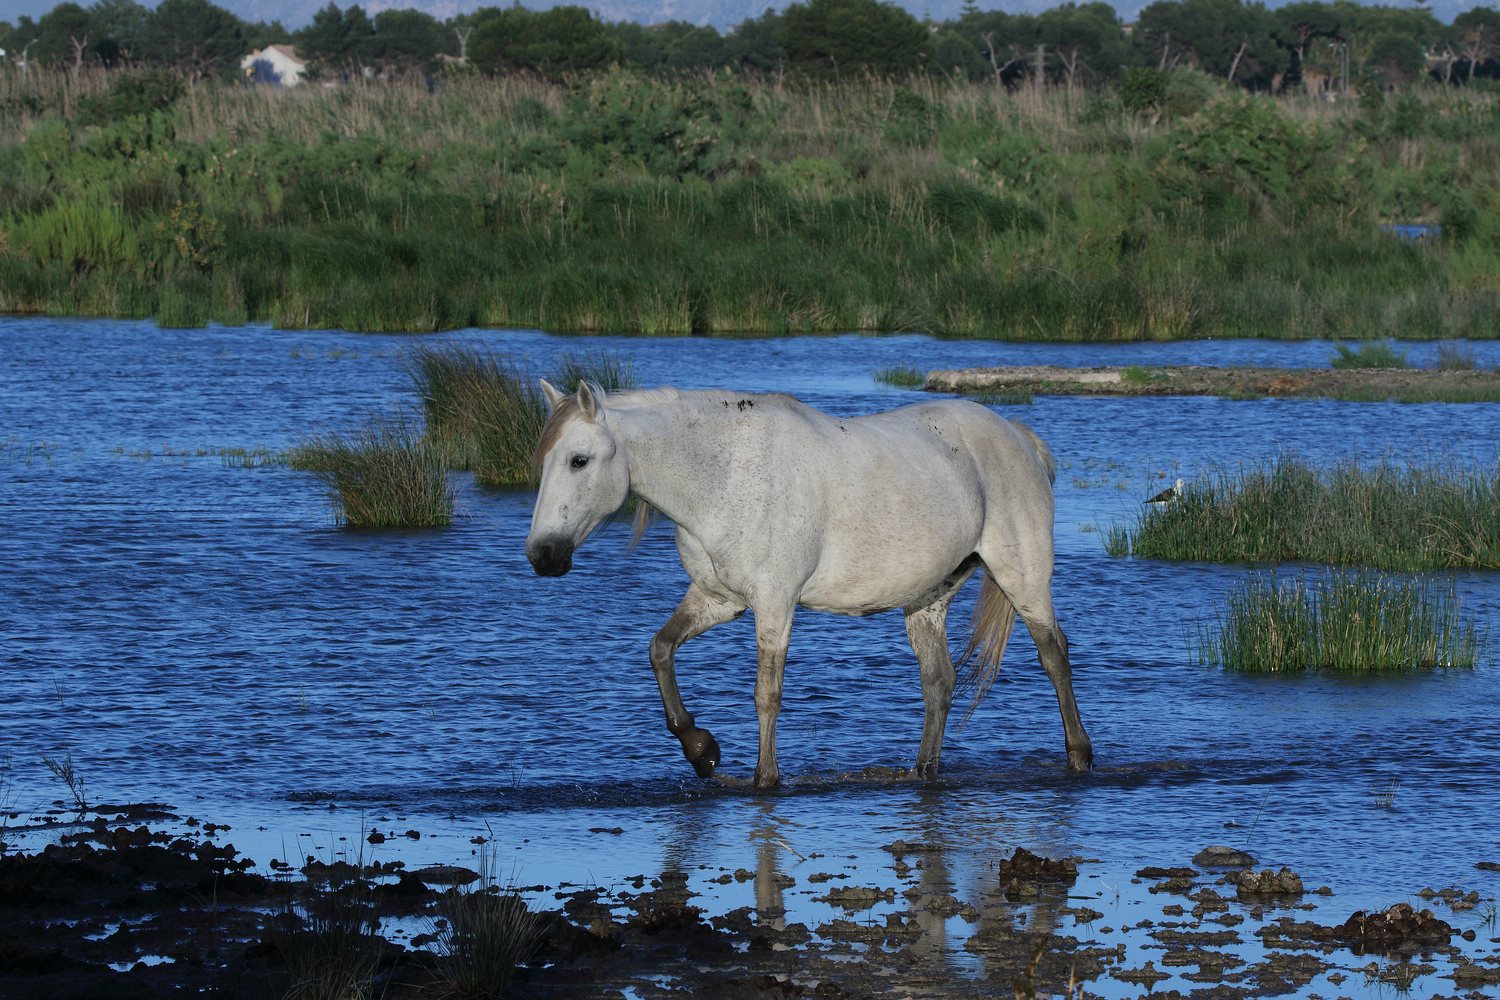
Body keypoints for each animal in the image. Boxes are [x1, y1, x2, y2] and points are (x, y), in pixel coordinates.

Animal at [528, 379, 1092, 785]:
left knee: (1054, 656)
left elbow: (766, 694)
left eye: (579, 460)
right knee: (939, 681)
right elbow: (660, 650)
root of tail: (1017, 436)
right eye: (544, 461)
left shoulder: (775, 604)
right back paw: (924, 771)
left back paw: (1079, 756)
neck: (724, 475)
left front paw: (764, 778)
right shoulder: (717, 600)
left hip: (1023, 576)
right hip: (928, 599)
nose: (543, 555)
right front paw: (700, 750)